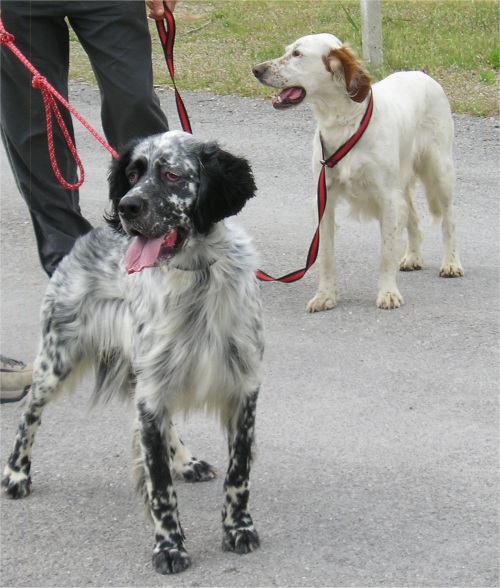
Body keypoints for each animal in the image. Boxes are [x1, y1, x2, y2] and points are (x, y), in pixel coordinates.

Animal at [0, 130, 266, 576]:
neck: (196, 275)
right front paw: (169, 546)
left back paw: (186, 461)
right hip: (58, 359)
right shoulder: (153, 393)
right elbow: (159, 486)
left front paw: (238, 528)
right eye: (132, 174)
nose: (127, 206)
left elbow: (239, 473)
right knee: (29, 412)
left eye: (172, 174)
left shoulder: (241, 389)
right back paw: (17, 473)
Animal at [254, 34, 464, 310]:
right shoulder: (325, 198)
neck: (343, 122)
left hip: (440, 169)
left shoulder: (386, 198)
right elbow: (326, 255)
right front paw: (325, 296)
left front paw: (388, 293)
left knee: (449, 218)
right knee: (412, 214)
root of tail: (421, 74)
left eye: (298, 54)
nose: (256, 70)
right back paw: (413, 256)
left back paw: (451, 263)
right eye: (287, 51)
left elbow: (386, 253)